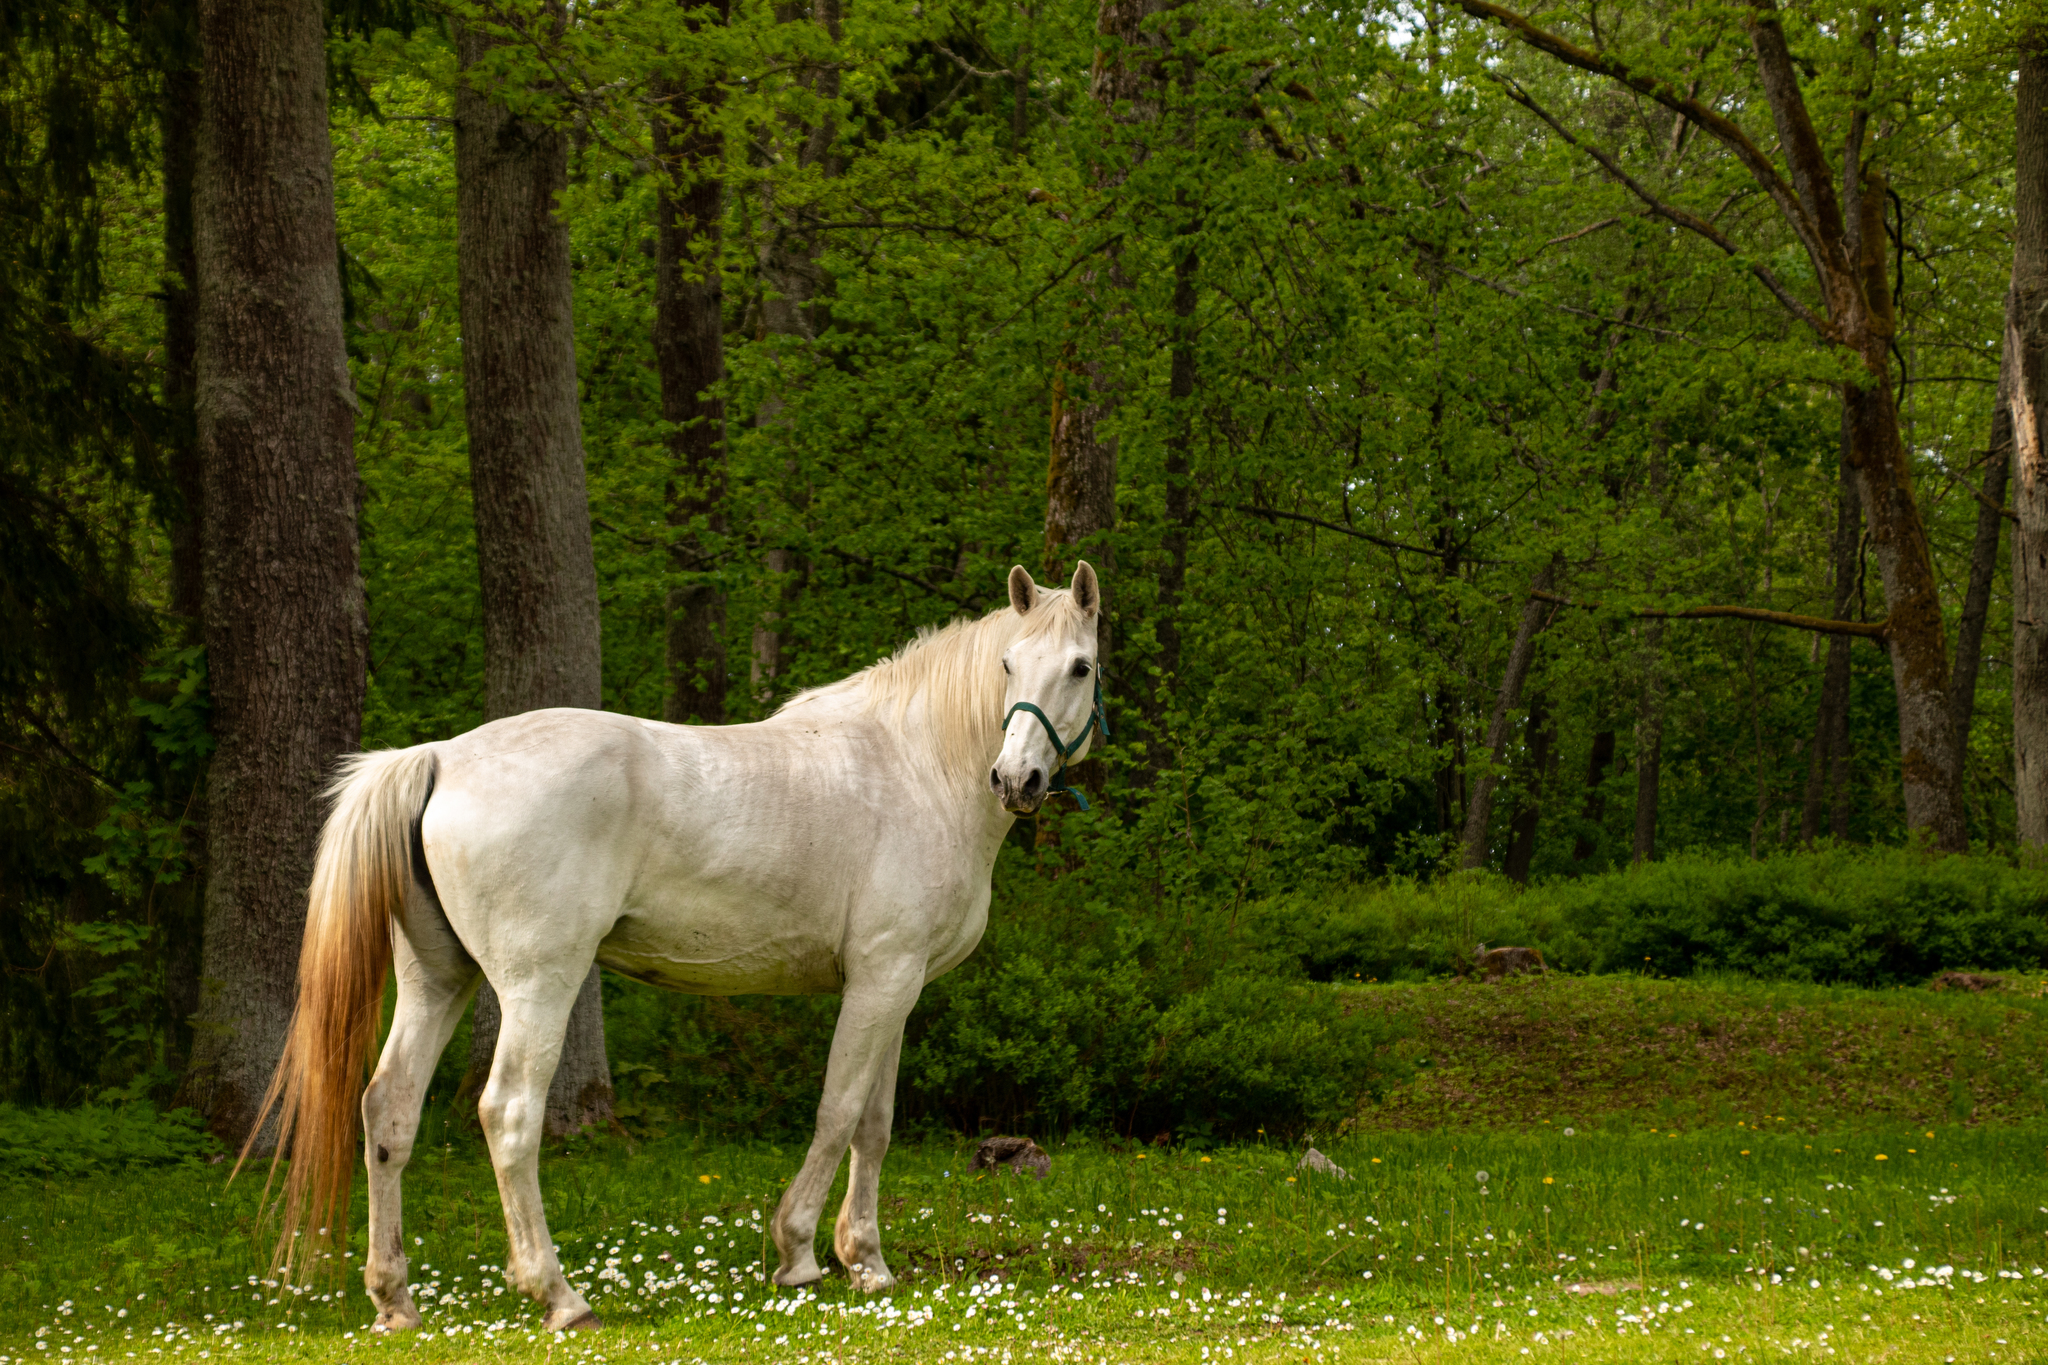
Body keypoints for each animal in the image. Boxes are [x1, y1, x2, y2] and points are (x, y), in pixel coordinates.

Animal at [251, 560, 1105, 1326]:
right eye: (1007, 664)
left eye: (1079, 665)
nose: (1016, 780)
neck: (916, 765)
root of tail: (436, 756)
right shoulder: (880, 982)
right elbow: (837, 1111)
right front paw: (799, 1253)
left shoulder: (895, 988)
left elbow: (874, 1122)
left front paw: (866, 1260)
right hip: (537, 984)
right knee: (510, 1114)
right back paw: (559, 1295)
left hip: (438, 979)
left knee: (388, 1111)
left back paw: (394, 1299)